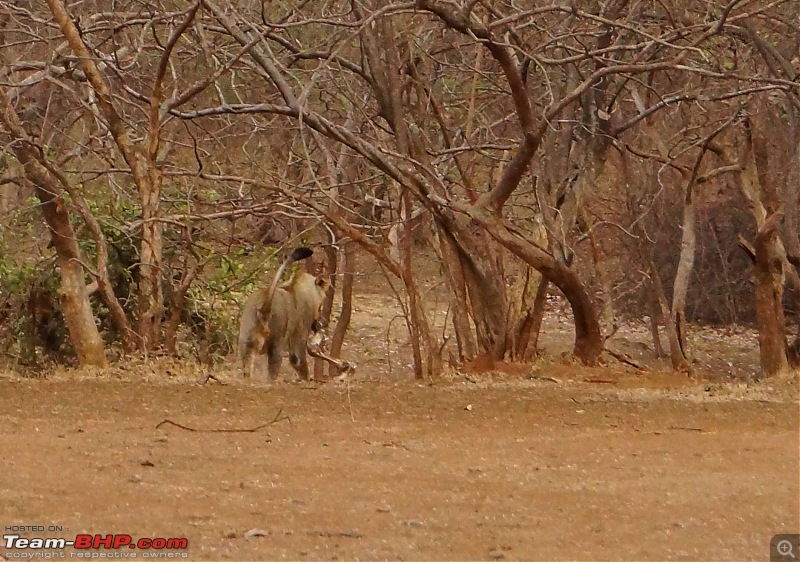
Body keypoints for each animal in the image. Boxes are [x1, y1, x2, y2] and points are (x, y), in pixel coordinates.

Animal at [236, 247, 330, 378]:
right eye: (321, 306)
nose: (321, 322)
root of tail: (264, 308)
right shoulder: (299, 336)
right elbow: (300, 364)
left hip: (245, 343)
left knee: (248, 372)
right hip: (276, 347)